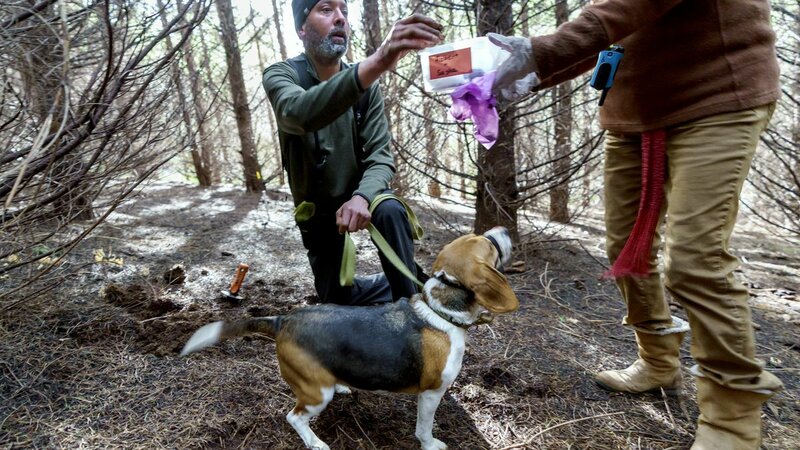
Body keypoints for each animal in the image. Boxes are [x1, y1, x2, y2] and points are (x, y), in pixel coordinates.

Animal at [180, 227, 519, 450]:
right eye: (488, 243)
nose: (503, 228)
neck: (441, 312)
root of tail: (283, 319)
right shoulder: (431, 393)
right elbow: (424, 428)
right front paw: (431, 444)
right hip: (316, 394)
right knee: (294, 417)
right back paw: (315, 442)